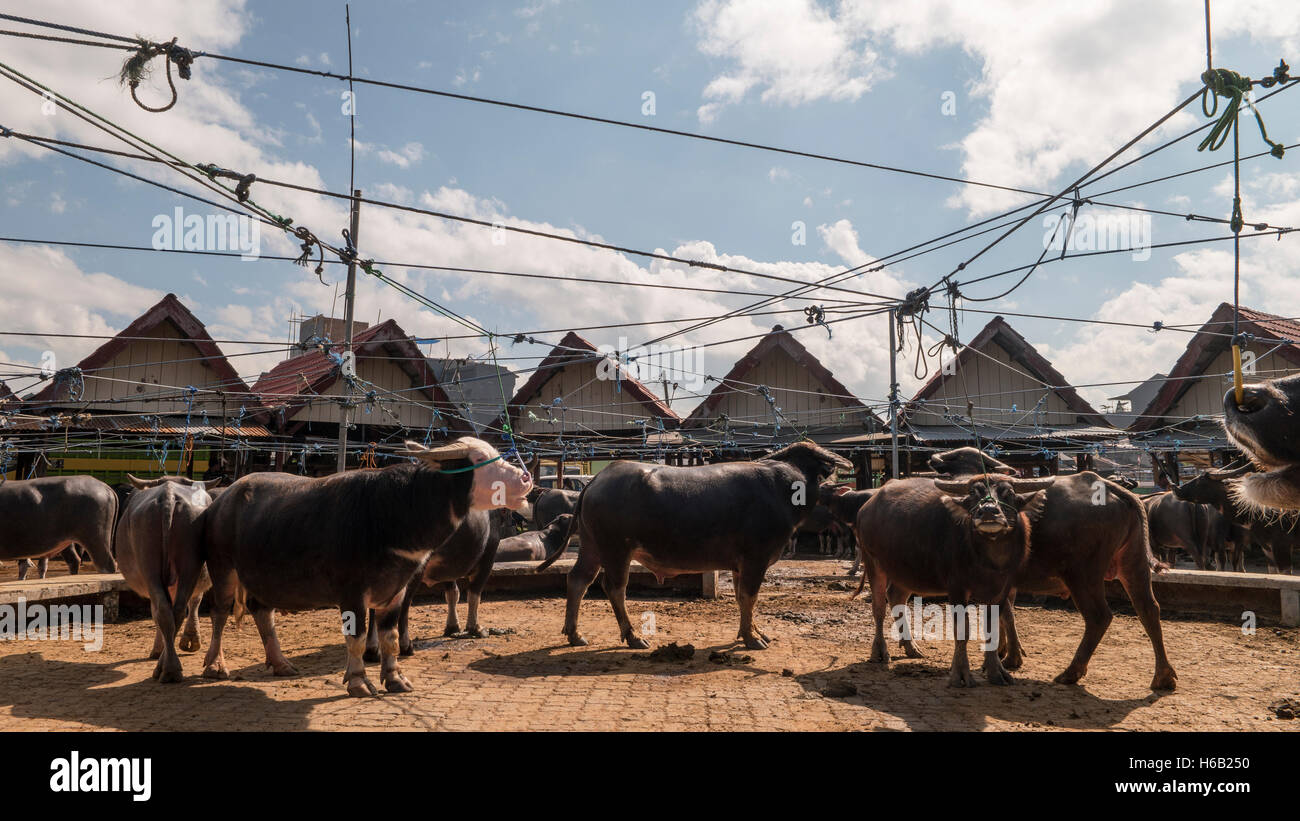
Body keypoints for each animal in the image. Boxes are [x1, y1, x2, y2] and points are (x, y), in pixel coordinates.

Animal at [117, 475, 220, 680]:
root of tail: (169, 495)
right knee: (175, 610)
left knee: (165, 610)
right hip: (189, 561)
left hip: (150, 564)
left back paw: (167, 668)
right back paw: (170, 667)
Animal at [198, 439, 533, 696]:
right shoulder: (352, 592)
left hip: (262, 576)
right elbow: (356, 638)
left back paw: (280, 663)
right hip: (222, 567)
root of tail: (222, 500)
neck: (395, 510)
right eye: (479, 459)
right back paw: (215, 665)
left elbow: (390, 637)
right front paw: (359, 681)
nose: (525, 478)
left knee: (261, 611)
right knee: (219, 613)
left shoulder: (396, 590)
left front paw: (395, 678)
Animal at [538, 439, 852, 652]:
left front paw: (754, 632)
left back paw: (575, 634)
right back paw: (634, 637)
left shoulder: (740, 564)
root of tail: (596, 481)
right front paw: (752, 639)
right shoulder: (756, 558)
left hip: (592, 546)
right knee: (614, 588)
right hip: (615, 550)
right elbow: (749, 596)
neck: (783, 488)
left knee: (578, 580)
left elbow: (742, 598)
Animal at [857, 475, 1050, 685]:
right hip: (872, 561)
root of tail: (867, 506)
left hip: (906, 571)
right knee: (878, 608)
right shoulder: (957, 587)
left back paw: (911, 647)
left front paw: (996, 671)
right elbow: (962, 630)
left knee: (896, 597)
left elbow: (994, 626)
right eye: (974, 493)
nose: (988, 511)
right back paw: (879, 651)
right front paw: (961, 674)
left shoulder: (1002, 589)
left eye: (1009, 492)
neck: (990, 559)